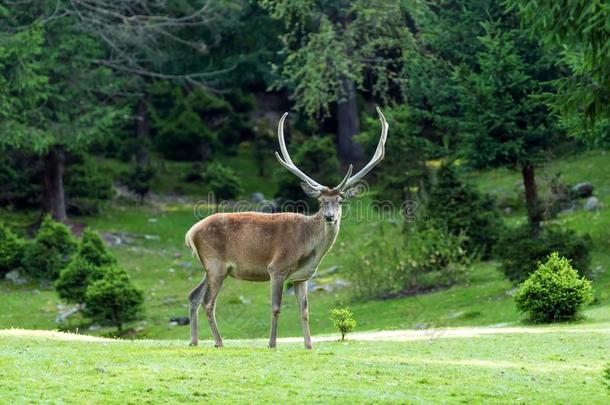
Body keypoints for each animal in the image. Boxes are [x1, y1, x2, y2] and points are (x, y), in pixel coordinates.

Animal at [183, 106, 388, 348]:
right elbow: (276, 307)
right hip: (216, 264)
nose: (329, 217)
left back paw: (194, 341)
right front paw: (272, 344)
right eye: (321, 201)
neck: (308, 249)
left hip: (210, 267)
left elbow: (304, 312)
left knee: (193, 295)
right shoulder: (277, 267)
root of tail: (190, 233)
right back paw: (219, 342)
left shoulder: (302, 278)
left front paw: (309, 345)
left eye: (340, 201)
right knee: (208, 302)